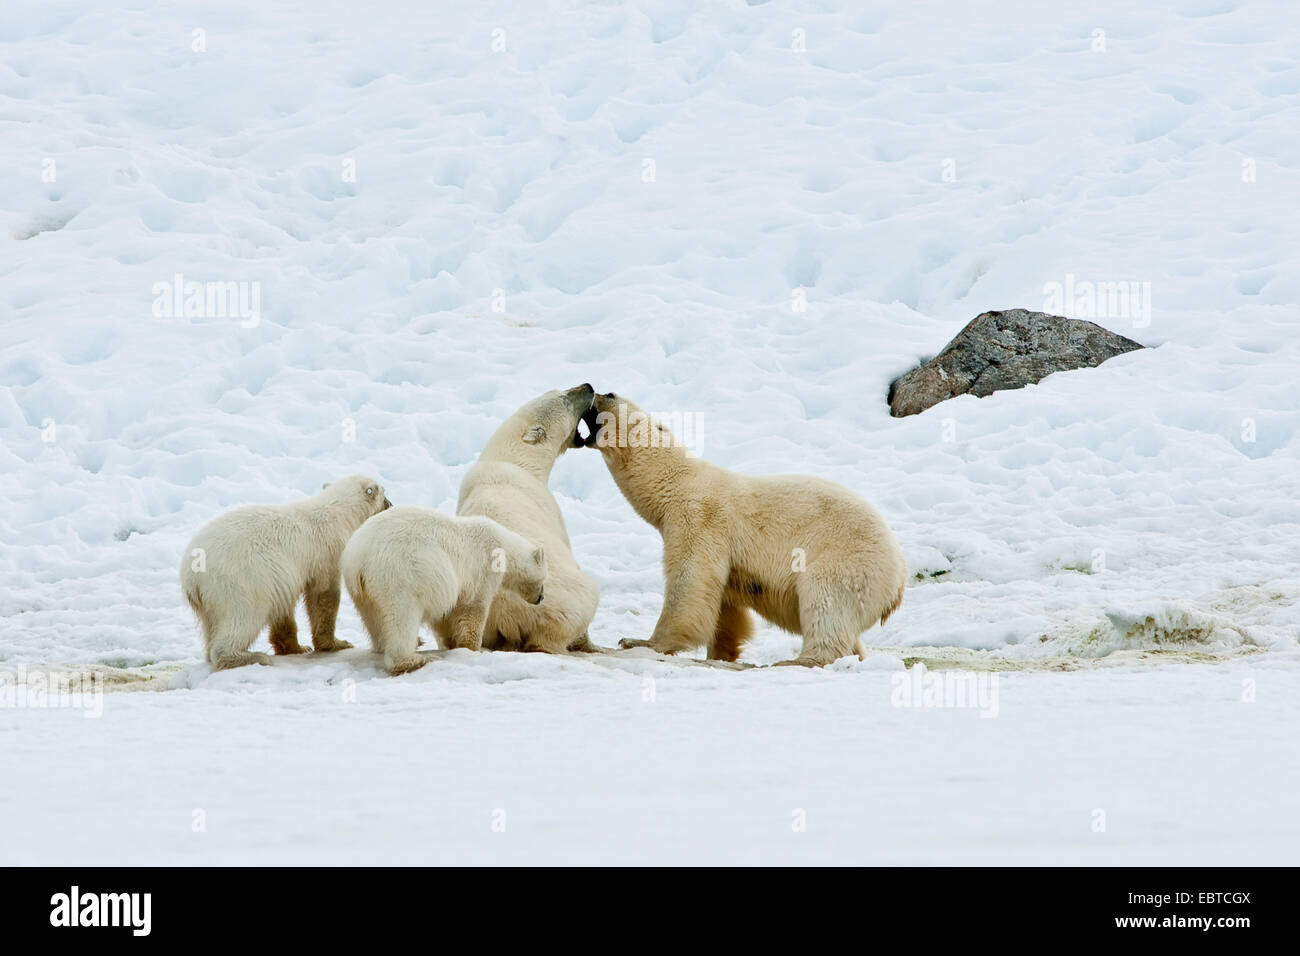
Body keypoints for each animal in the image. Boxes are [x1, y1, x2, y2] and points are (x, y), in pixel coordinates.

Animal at [180, 476, 390, 671]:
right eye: (383, 493)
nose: (391, 504)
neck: (337, 512)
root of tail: (192, 575)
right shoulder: (327, 552)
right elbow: (323, 595)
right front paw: (337, 643)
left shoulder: (281, 574)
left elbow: (283, 606)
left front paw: (297, 647)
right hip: (238, 581)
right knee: (244, 616)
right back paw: (251, 656)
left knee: (212, 626)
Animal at [340, 509, 548, 671]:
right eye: (544, 579)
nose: (541, 598)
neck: (503, 547)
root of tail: (360, 558)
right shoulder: (482, 571)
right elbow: (474, 610)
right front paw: (474, 648)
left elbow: (445, 614)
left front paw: (451, 643)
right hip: (400, 575)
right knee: (402, 617)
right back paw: (417, 658)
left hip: (361, 590)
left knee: (373, 619)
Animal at [454, 385, 600, 655]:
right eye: (564, 399)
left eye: (559, 389)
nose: (588, 387)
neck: (510, 460)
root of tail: (510, 614)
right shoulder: (550, 508)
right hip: (564, 601)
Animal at [587, 392, 904, 671]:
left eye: (616, 397)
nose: (602, 392)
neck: (677, 482)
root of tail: (899, 579)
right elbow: (725, 603)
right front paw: (721, 651)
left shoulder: (699, 518)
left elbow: (689, 579)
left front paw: (638, 641)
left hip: (847, 560)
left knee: (826, 602)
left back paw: (800, 660)